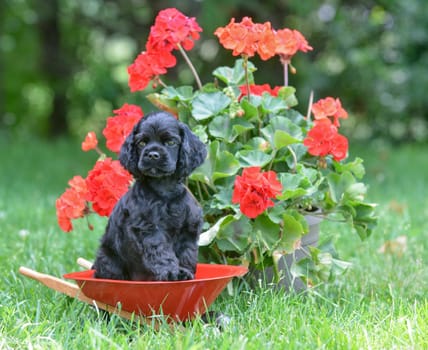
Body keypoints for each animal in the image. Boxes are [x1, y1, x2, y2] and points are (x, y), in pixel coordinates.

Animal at [93, 112, 207, 282]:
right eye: (141, 143)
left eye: (171, 142)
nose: (153, 154)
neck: (164, 190)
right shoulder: (147, 228)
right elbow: (160, 250)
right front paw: (170, 272)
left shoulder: (188, 229)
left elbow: (186, 252)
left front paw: (184, 272)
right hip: (108, 257)